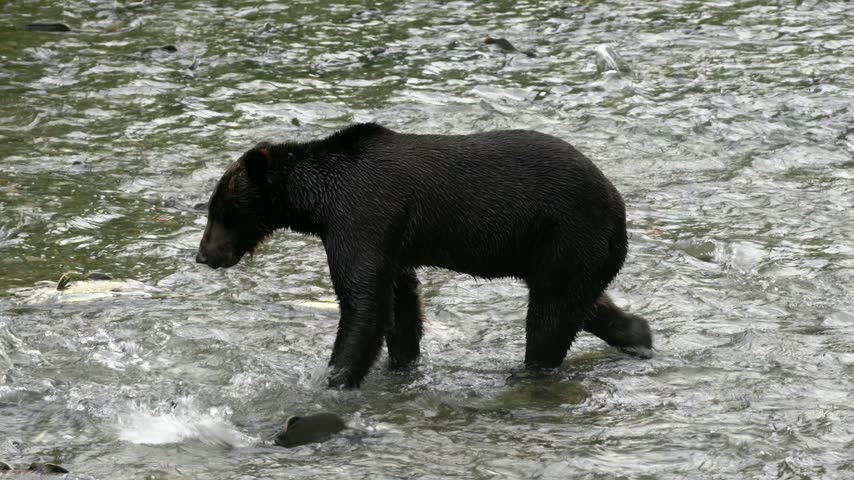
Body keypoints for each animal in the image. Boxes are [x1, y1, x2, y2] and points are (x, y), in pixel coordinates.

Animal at [196, 123, 653, 389]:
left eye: (222, 212)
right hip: (560, 249)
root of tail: (618, 204)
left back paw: (532, 368)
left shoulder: (363, 214)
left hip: (566, 233)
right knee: (579, 302)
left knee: (549, 315)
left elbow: (363, 301)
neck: (317, 205)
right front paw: (401, 361)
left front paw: (334, 377)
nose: (203, 255)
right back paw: (636, 334)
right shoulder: (394, 239)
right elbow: (400, 300)